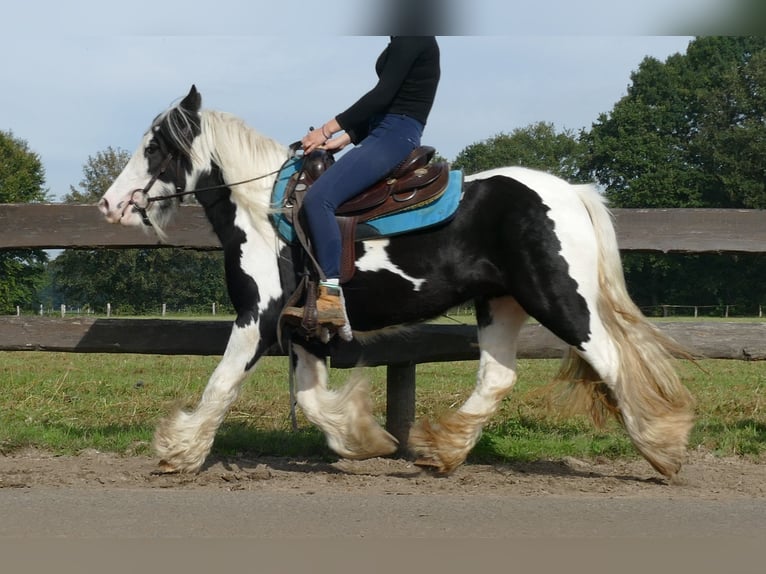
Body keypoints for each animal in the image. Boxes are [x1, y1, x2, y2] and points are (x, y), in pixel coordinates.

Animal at [97, 85, 696, 482]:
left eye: (155, 147)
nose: (110, 204)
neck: (265, 212)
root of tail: (569, 192)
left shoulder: (259, 318)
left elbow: (221, 384)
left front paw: (178, 453)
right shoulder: (306, 329)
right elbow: (310, 398)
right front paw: (365, 440)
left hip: (560, 301)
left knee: (611, 362)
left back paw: (662, 450)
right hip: (499, 304)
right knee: (497, 377)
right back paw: (441, 450)